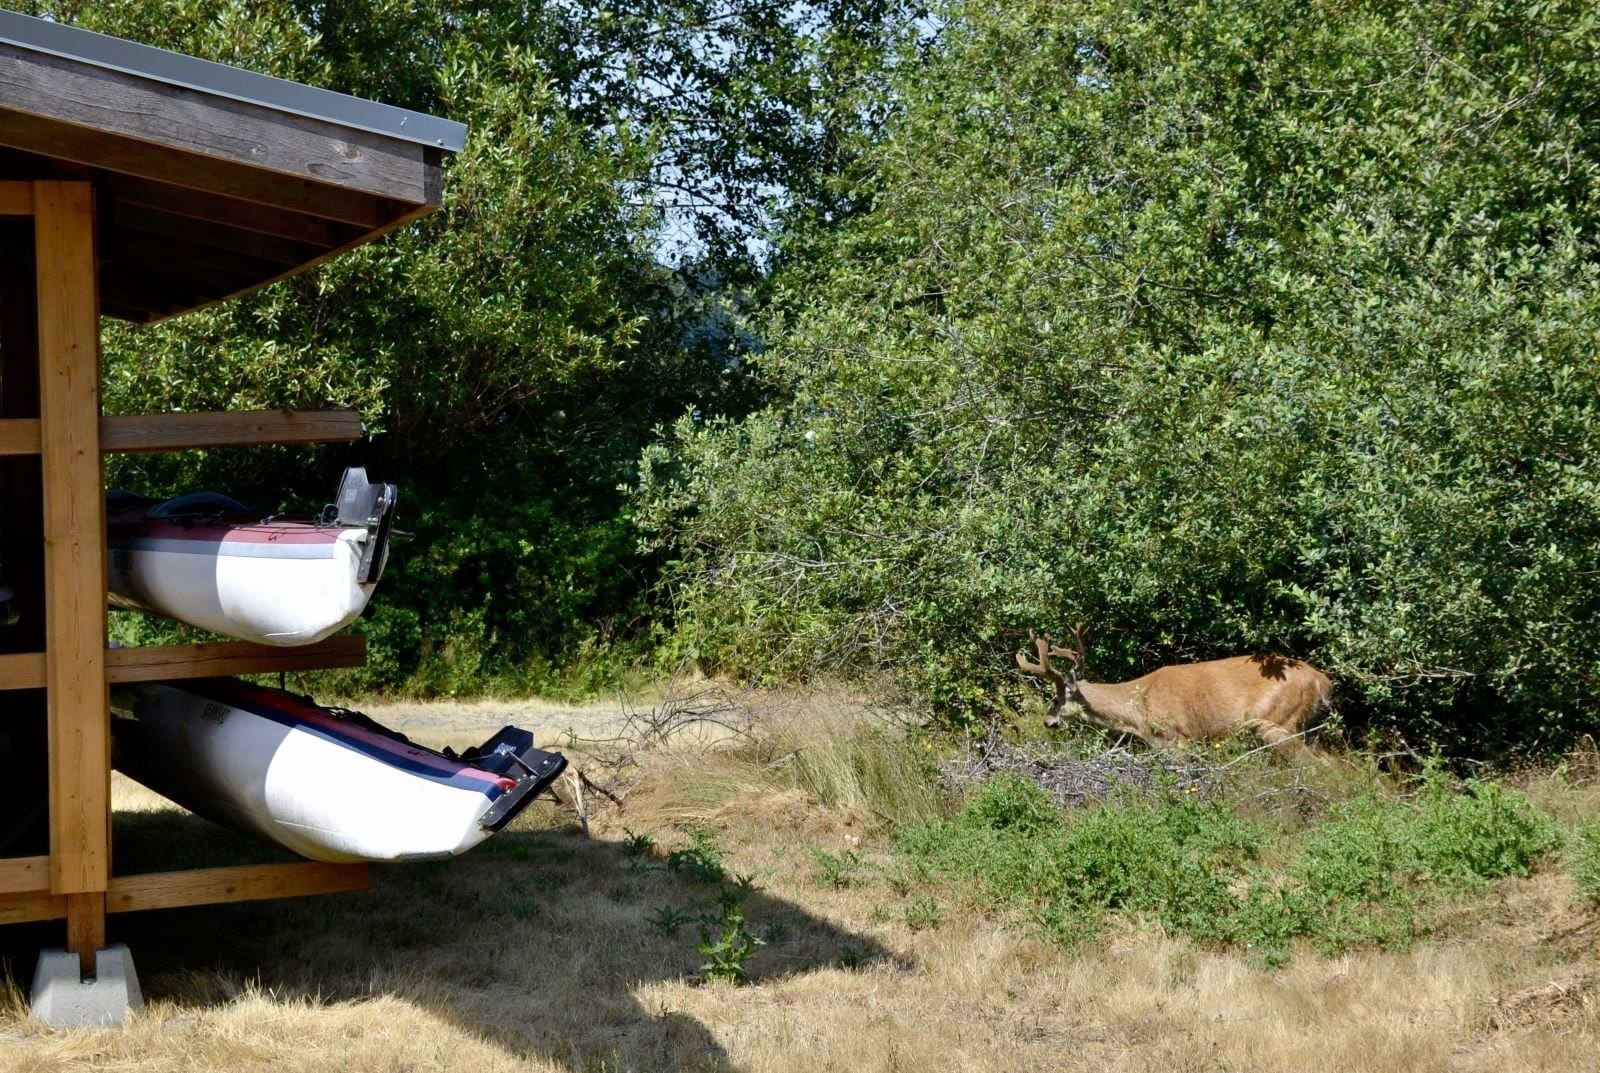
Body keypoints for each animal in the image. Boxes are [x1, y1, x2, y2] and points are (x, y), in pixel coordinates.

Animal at [1017, 626, 1331, 751]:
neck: (1139, 712)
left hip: (1278, 720)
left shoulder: (1177, 738)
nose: (1047, 721)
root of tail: (1322, 680)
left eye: (1056, 698)